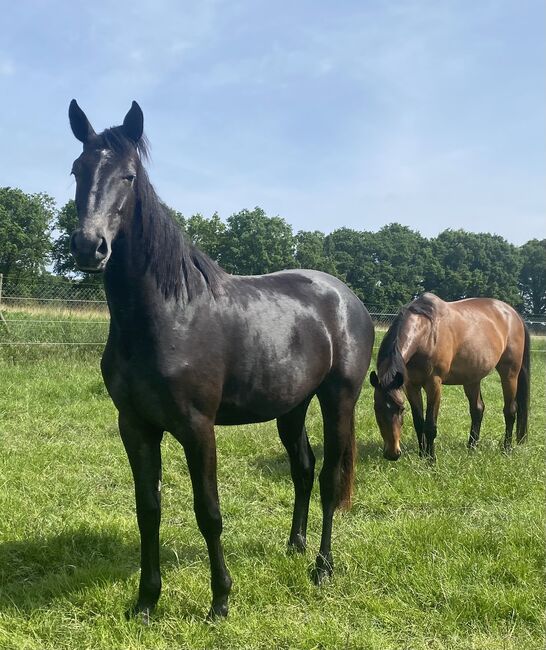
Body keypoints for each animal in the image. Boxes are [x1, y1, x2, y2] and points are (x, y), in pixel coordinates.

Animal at [68, 98, 374, 620]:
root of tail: (346, 297)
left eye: (128, 175)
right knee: (303, 468)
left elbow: (207, 512)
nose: (90, 247)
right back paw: (294, 545)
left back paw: (322, 568)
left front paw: (220, 601)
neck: (167, 314)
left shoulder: (197, 427)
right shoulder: (135, 425)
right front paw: (145, 602)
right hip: (291, 406)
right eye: (77, 169)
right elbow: (148, 509)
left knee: (330, 478)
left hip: (339, 402)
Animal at [368, 292, 528, 458]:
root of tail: (514, 314)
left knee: (510, 411)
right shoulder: (411, 385)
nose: (392, 454)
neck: (426, 334)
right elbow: (419, 422)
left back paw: (506, 449)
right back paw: (471, 448)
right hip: (472, 378)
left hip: (509, 374)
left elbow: (430, 425)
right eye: (376, 409)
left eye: (400, 409)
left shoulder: (434, 384)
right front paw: (421, 455)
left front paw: (430, 459)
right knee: (477, 409)